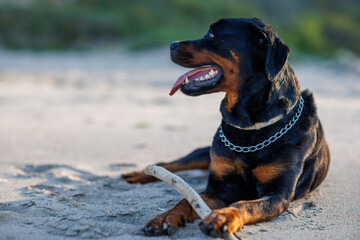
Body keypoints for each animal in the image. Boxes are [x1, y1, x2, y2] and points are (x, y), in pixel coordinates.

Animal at [121, 17, 330, 237]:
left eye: (212, 35)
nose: (172, 44)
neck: (250, 128)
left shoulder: (277, 194)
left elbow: (243, 204)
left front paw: (221, 217)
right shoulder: (219, 188)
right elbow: (186, 200)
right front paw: (165, 217)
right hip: (204, 153)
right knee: (174, 163)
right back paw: (139, 174)